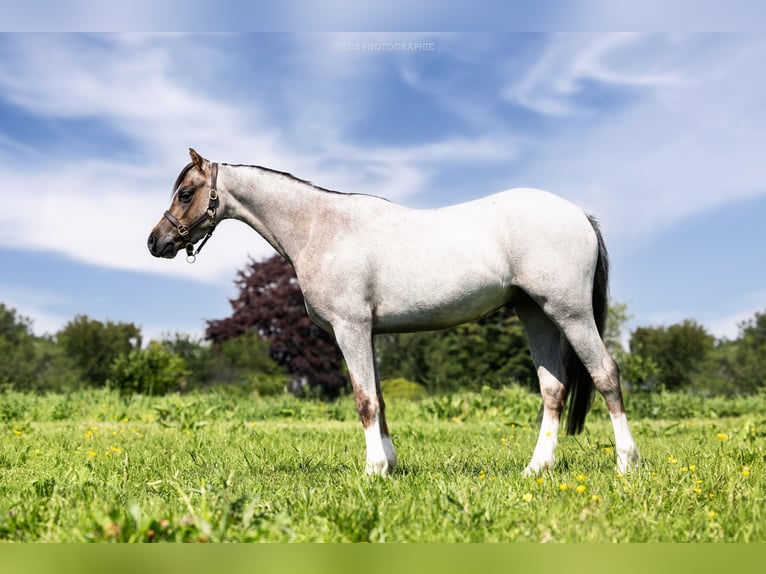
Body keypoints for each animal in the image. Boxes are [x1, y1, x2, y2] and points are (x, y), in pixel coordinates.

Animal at [147, 148, 640, 476]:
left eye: (186, 193)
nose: (156, 242)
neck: (320, 227)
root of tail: (579, 215)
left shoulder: (350, 329)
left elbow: (364, 400)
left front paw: (373, 470)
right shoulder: (370, 334)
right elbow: (380, 401)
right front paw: (389, 464)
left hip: (570, 313)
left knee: (605, 374)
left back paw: (626, 463)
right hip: (534, 314)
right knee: (553, 389)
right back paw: (537, 468)